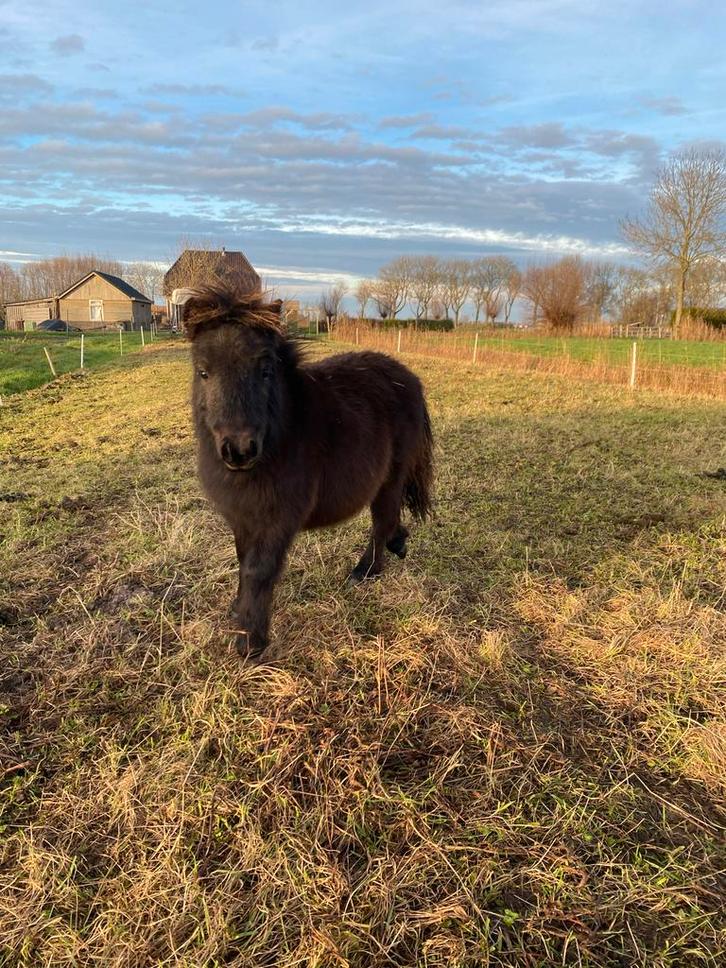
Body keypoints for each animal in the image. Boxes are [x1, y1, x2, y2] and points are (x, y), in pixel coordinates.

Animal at [185, 286, 433, 659]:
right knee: (389, 522)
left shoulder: (277, 520)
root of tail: (410, 380)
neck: (280, 437)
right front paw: (238, 611)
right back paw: (398, 544)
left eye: (266, 371)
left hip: (390, 478)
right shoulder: (243, 518)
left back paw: (365, 571)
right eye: (203, 371)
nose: (240, 449)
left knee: (382, 523)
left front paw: (250, 641)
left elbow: (258, 570)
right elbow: (243, 563)